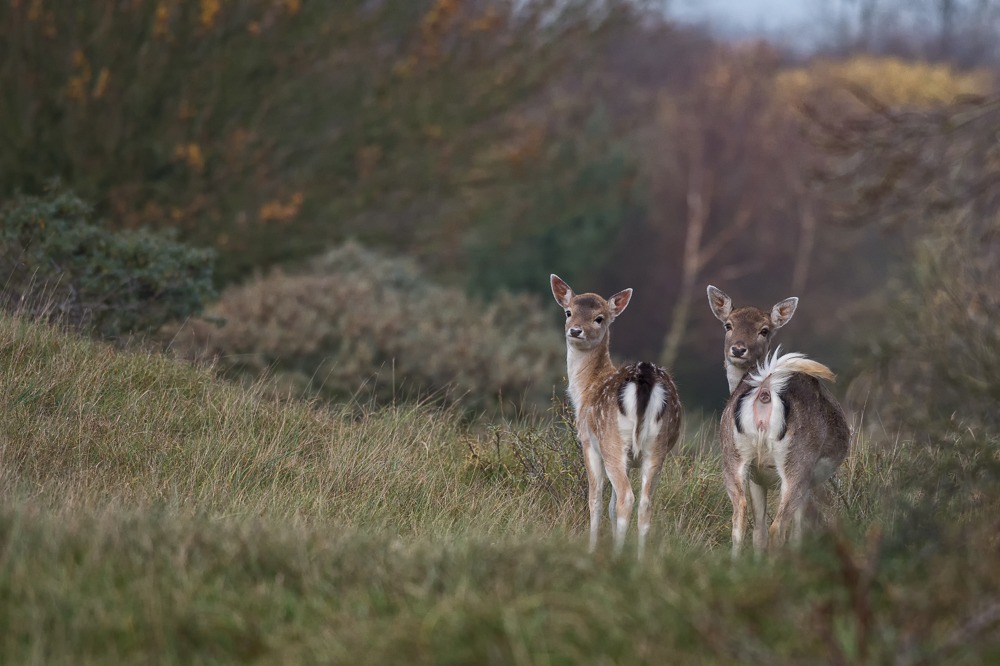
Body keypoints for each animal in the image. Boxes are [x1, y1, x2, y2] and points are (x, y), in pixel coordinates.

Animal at [552, 272, 684, 556]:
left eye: (599, 318)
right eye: (568, 311)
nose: (575, 330)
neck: (587, 389)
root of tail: (645, 378)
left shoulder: (589, 443)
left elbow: (597, 501)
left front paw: (592, 548)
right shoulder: (631, 460)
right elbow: (611, 506)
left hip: (612, 440)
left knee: (626, 498)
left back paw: (618, 555)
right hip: (657, 446)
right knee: (645, 503)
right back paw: (640, 558)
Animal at [704, 286, 852, 556]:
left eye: (764, 330)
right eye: (728, 325)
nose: (738, 349)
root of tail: (765, 388)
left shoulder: (756, 476)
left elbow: (758, 529)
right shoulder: (807, 480)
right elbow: (797, 529)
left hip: (733, 454)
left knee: (740, 516)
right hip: (798, 461)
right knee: (778, 527)